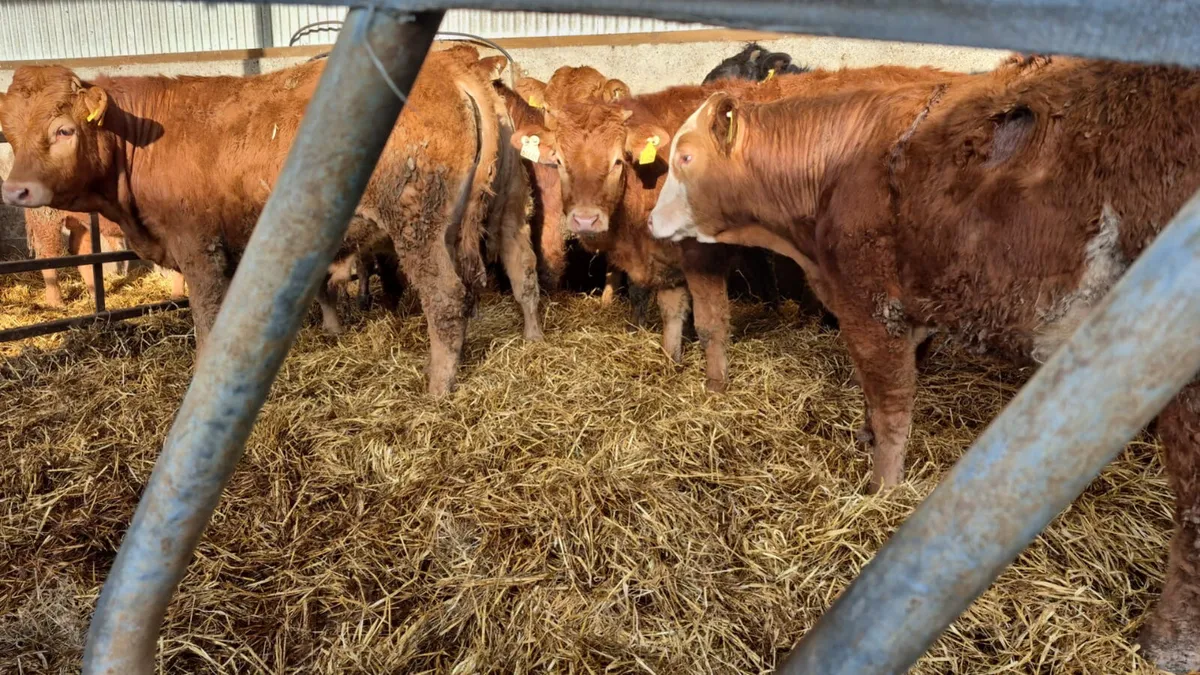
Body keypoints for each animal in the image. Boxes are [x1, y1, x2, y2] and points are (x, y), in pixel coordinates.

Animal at [0, 50, 540, 396]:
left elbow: (208, 316)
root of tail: (452, 66)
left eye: (64, 130)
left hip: (417, 223)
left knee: (446, 297)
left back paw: (437, 386)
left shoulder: (198, 245)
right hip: (495, 213)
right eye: (10, 134)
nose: (17, 191)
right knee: (515, 271)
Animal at [647, 56, 1200, 672]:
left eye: (685, 157)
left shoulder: (872, 307)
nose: (648, 222)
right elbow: (874, 395)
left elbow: (893, 406)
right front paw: (865, 439)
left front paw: (882, 492)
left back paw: (1166, 646)